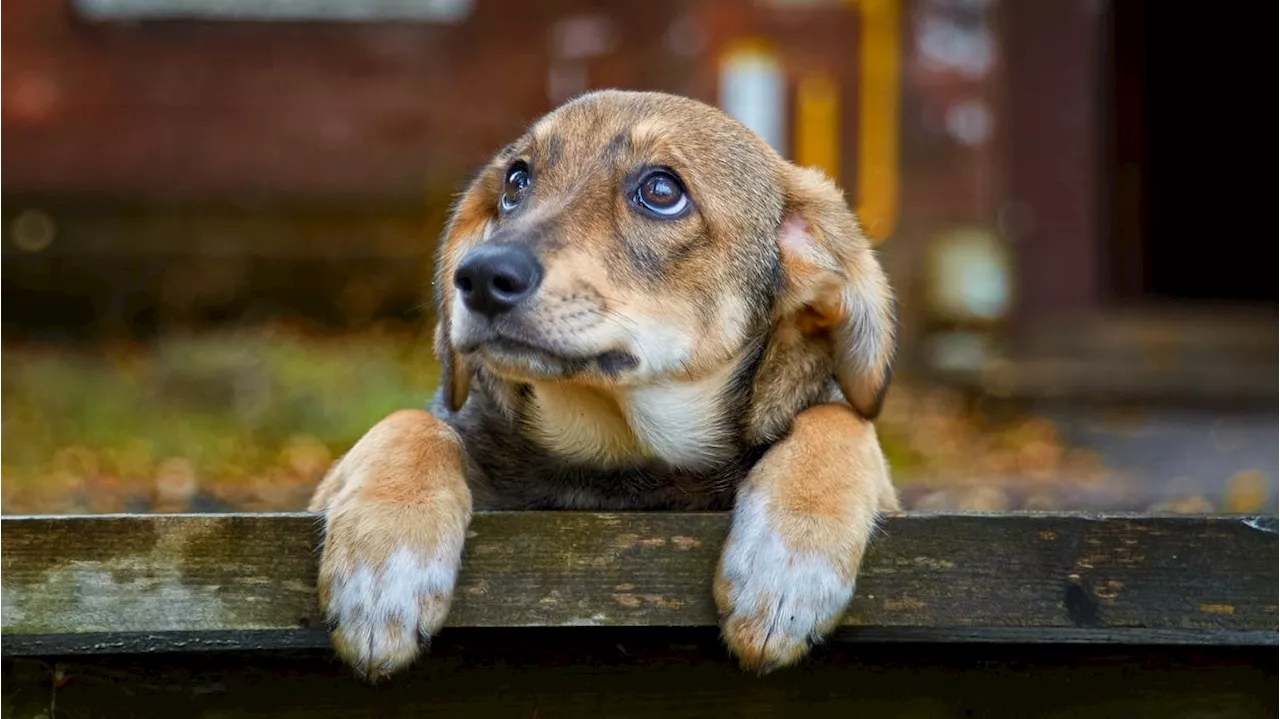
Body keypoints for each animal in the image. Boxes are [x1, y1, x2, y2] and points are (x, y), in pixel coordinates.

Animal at [307, 89, 901, 675]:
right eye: (517, 181)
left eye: (661, 190)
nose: (477, 276)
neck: (616, 455)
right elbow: (412, 422)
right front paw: (383, 568)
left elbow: (841, 418)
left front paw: (790, 563)